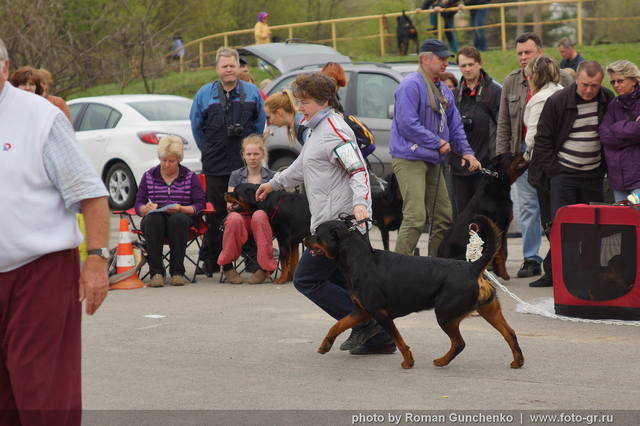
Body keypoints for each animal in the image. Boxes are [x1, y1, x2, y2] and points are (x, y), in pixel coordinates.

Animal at [306, 215, 524, 372]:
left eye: (317, 234)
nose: (304, 238)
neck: (359, 260)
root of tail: (472, 268)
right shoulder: (362, 312)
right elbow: (337, 325)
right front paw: (325, 345)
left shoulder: (380, 313)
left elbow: (399, 340)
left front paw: (408, 361)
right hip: (489, 309)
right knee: (509, 333)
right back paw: (518, 361)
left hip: (445, 314)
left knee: (459, 343)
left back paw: (442, 361)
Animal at [438, 152, 528, 280]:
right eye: (511, 155)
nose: (522, 152)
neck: (497, 185)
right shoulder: (500, 227)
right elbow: (501, 252)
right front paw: (503, 274)